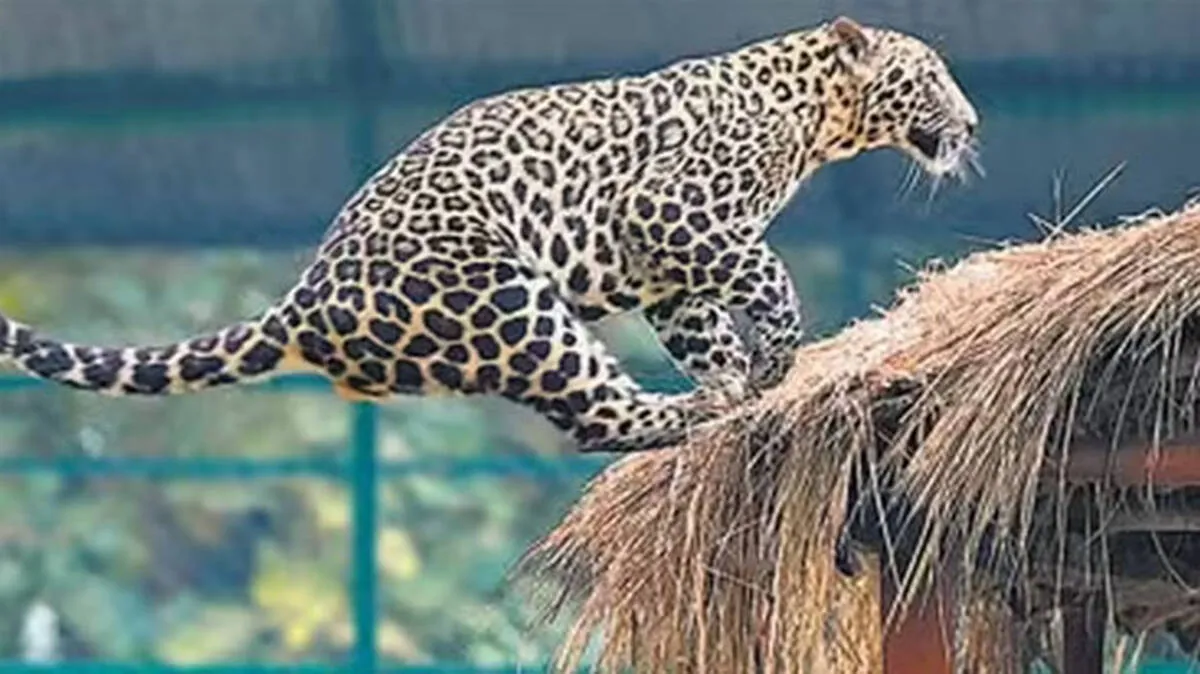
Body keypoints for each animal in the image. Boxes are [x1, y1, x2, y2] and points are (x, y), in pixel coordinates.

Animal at [0, 16, 979, 454]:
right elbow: (766, 272)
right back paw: (682, 413)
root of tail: (305, 299)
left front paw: (743, 381)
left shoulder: (666, 266)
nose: (972, 125)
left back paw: (700, 410)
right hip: (508, 301)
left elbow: (703, 326)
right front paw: (771, 360)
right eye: (931, 74)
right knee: (594, 413)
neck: (815, 115)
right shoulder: (670, 211)